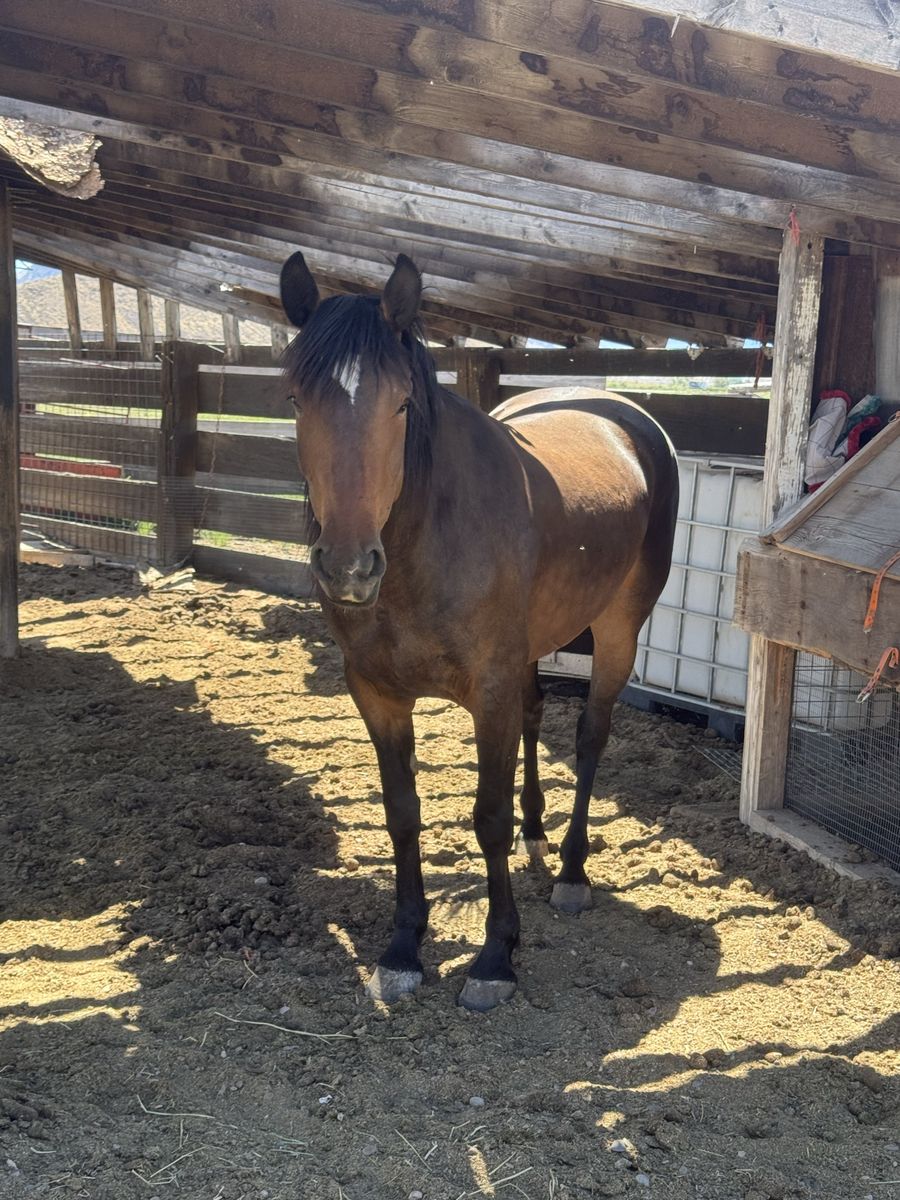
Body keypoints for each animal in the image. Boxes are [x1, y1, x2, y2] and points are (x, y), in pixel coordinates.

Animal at [280, 252, 679, 1012]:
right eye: (294, 399)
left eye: (401, 404)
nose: (347, 566)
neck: (422, 546)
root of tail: (626, 414)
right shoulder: (376, 693)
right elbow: (402, 812)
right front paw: (404, 947)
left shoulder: (487, 689)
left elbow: (485, 817)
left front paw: (497, 956)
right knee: (534, 714)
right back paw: (537, 832)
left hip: (619, 628)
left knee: (590, 737)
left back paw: (572, 872)